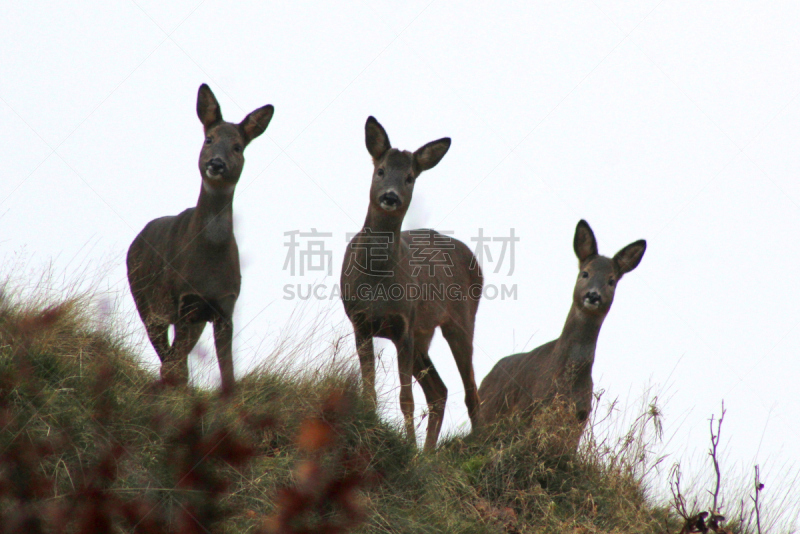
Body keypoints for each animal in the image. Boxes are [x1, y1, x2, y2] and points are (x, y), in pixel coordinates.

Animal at [126, 84, 274, 398]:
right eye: (209, 139)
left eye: (238, 146)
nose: (216, 163)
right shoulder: (184, 299)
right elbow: (176, 366)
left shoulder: (224, 306)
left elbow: (227, 371)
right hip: (146, 301)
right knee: (166, 353)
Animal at [340, 117, 484, 452]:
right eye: (380, 170)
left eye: (409, 177)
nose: (390, 196)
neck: (377, 279)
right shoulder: (360, 322)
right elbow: (370, 390)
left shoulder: (404, 324)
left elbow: (406, 399)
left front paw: (407, 446)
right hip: (423, 334)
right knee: (440, 391)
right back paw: (428, 454)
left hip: (460, 320)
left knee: (470, 390)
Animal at [476, 219, 644, 448]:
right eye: (585, 273)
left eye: (611, 280)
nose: (593, 295)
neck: (565, 379)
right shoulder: (528, 410)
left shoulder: (579, 420)